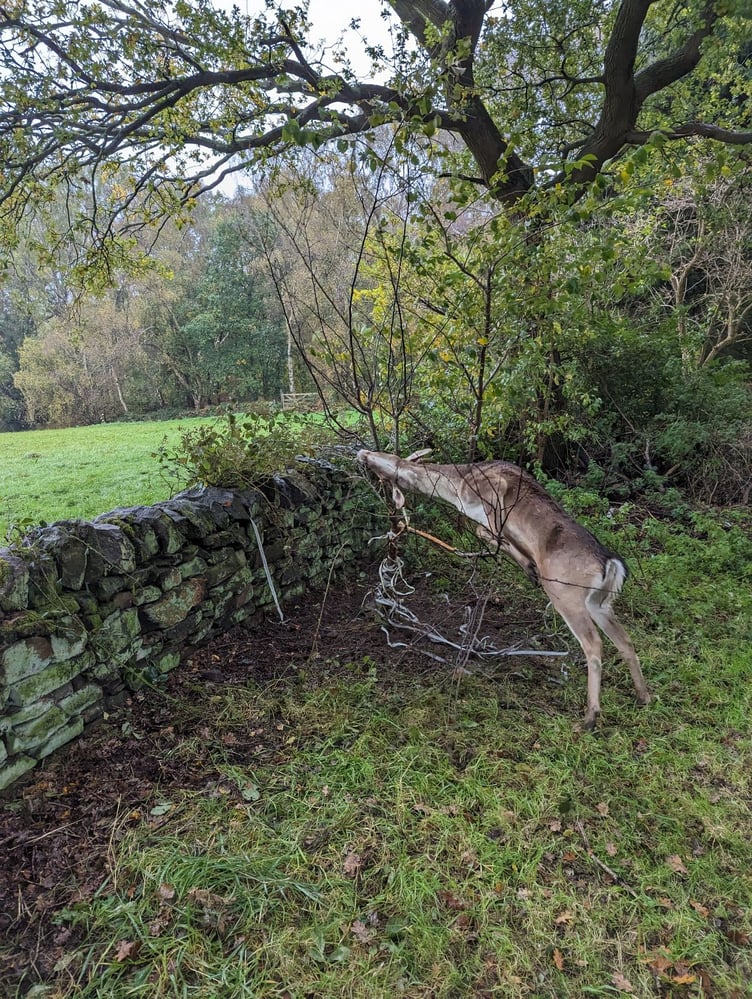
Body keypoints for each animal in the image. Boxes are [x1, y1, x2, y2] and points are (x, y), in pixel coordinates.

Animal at [357, 449, 651, 729]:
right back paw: (643, 696)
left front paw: (528, 564)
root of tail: (610, 564)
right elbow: (490, 534)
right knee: (624, 640)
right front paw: (527, 565)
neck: (457, 487)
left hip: (566, 594)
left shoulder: (492, 489)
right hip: (598, 602)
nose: (361, 453)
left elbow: (488, 531)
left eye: (384, 459)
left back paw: (590, 718)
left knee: (594, 643)